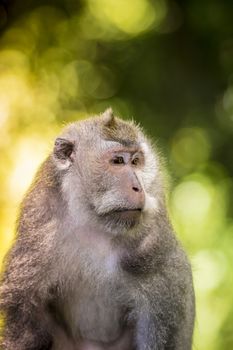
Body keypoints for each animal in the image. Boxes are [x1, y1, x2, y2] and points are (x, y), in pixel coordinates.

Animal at [0, 109, 195, 350]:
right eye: (118, 161)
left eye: (136, 161)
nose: (138, 187)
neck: (96, 225)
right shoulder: (39, 237)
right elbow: (26, 330)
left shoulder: (158, 259)